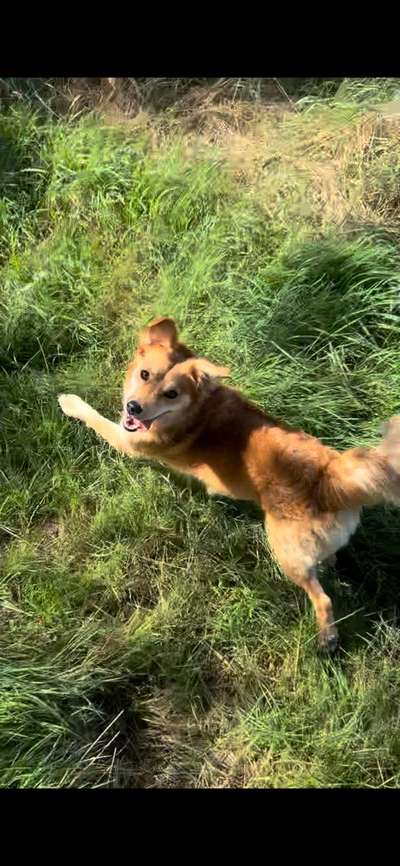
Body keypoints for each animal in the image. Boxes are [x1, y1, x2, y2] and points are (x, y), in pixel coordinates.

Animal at [57, 316, 400, 648]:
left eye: (172, 393)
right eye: (144, 374)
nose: (133, 408)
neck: (196, 410)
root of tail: (330, 475)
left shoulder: (128, 441)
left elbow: (96, 417)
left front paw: (70, 401)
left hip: (286, 554)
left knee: (322, 599)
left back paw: (326, 638)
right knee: (330, 559)